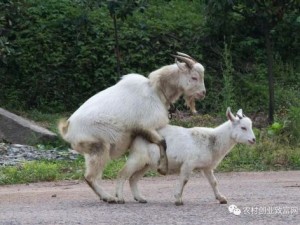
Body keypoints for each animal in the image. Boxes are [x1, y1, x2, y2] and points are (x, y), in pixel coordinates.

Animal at [58, 52, 206, 202]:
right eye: (194, 77)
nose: (203, 93)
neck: (156, 90)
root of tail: (68, 129)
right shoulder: (147, 126)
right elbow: (162, 142)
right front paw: (163, 168)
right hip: (100, 148)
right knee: (90, 177)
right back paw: (109, 198)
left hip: (91, 152)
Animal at [115, 108, 255, 205]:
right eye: (243, 127)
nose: (253, 140)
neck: (213, 140)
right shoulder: (189, 163)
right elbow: (184, 180)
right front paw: (178, 199)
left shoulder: (207, 167)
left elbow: (214, 182)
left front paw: (221, 199)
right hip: (138, 157)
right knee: (122, 174)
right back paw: (120, 198)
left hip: (147, 163)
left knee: (133, 178)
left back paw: (140, 198)